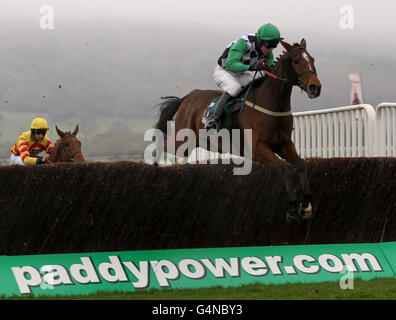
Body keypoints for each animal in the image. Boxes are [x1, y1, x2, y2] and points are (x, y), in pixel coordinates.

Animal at [155, 38, 322, 221]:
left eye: (312, 59)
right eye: (296, 61)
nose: (315, 87)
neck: (271, 103)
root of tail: (188, 97)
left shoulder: (283, 144)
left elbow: (301, 164)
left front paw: (306, 204)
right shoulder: (258, 149)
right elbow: (283, 168)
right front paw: (292, 207)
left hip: (192, 144)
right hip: (182, 139)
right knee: (162, 145)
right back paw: (154, 166)